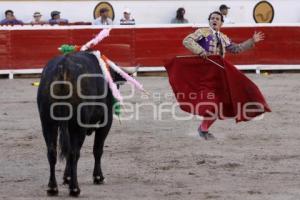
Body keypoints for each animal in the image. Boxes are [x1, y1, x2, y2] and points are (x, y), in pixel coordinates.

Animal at [37, 51, 124, 197]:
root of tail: (63, 66)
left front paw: (67, 177)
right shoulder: (106, 122)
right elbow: (97, 149)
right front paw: (98, 177)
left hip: (47, 123)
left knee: (52, 152)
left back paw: (52, 188)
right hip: (78, 126)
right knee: (74, 153)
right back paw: (74, 188)